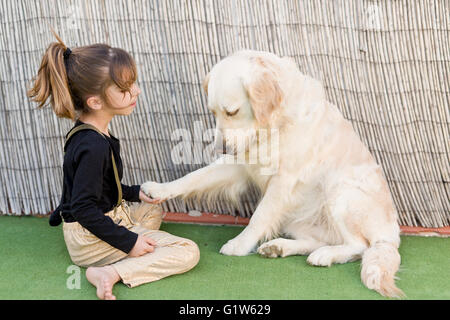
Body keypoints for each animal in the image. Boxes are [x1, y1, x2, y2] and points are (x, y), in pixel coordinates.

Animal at [142, 50, 404, 298]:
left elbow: (259, 216)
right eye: (213, 113)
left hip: (339, 192)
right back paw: (279, 247)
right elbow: (195, 176)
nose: (221, 148)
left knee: (359, 246)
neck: (270, 127)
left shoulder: (284, 180)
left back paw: (325, 255)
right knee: (317, 240)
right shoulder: (239, 164)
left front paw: (239, 244)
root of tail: (391, 235)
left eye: (232, 112)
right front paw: (159, 189)